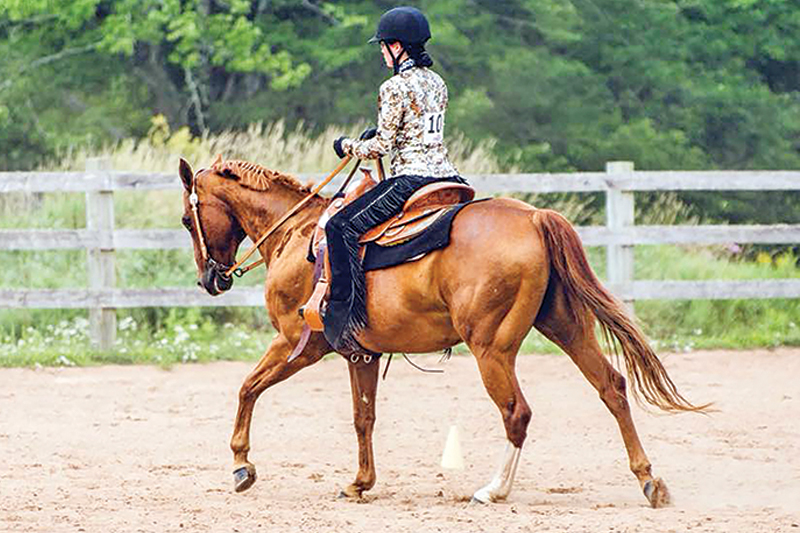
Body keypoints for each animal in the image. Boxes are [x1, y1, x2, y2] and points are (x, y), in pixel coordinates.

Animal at [178, 156, 707, 507]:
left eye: (186, 218)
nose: (210, 279)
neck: (299, 235)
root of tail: (535, 217)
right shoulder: (360, 354)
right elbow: (363, 417)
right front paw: (360, 482)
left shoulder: (297, 343)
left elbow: (247, 387)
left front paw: (242, 466)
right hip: (565, 326)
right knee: (611, 387)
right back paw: (649, 481)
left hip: (492, 347)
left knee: (517, 413)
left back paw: (494, 489)